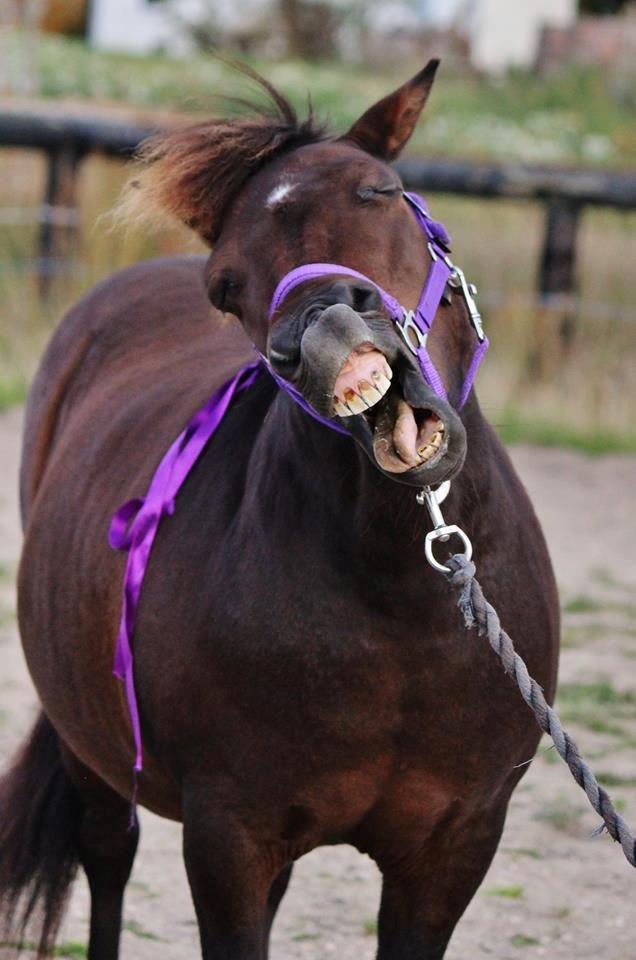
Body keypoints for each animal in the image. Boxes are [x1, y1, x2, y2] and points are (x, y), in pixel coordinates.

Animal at [0, 62, 560, 960]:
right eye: (226, 285)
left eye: (383, 191)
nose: (328, 331)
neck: (399, 606)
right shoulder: (228, 836)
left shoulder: (456, 844)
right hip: (94, 750)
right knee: (107, 857)